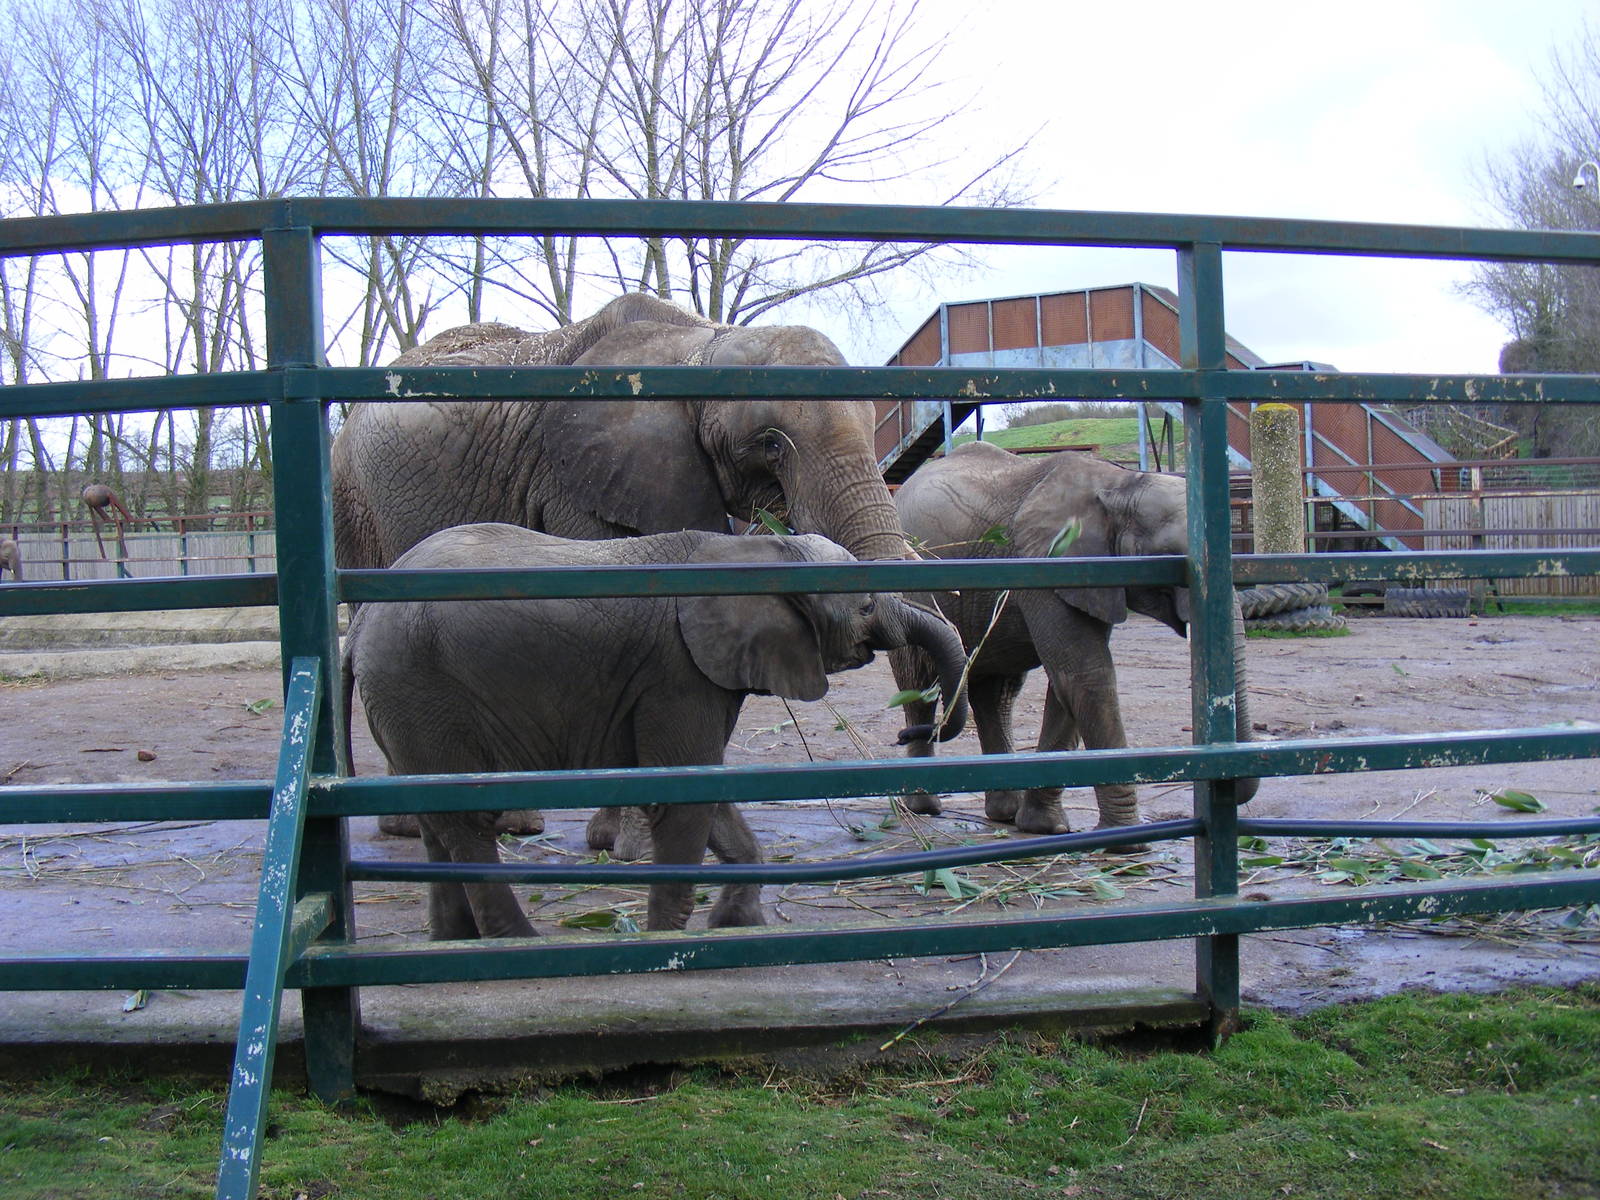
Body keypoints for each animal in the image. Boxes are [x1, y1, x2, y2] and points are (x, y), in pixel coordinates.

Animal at [332, 292, 934, 839]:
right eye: (770, 445)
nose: (907, 738)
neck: (701, 342)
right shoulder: (577, 479)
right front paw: (631, 843)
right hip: (353, 504)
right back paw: (412, 826)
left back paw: (513, 823)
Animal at [344, 524, 969, 937]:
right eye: (865, 606)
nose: (911, 731)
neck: (755, 550)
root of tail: (359, 623)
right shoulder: (678, 672)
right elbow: (685, 794)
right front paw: (666, 941)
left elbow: (709, 790)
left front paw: (733, 925)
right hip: (420, 686)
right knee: (468, 820)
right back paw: (516, 944)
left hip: (407, 702)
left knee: (437, 820)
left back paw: (453, 943)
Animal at [890, 440, 1257, 834]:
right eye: (1171, 555)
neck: (1120, 484)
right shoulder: (1048, 564)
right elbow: (1086, 675)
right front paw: (1126, 836)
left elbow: (1067, 684)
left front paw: (1044, 828)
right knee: (919, 682)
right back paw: (925, 806)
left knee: (997, 692)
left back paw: (1003, 812)